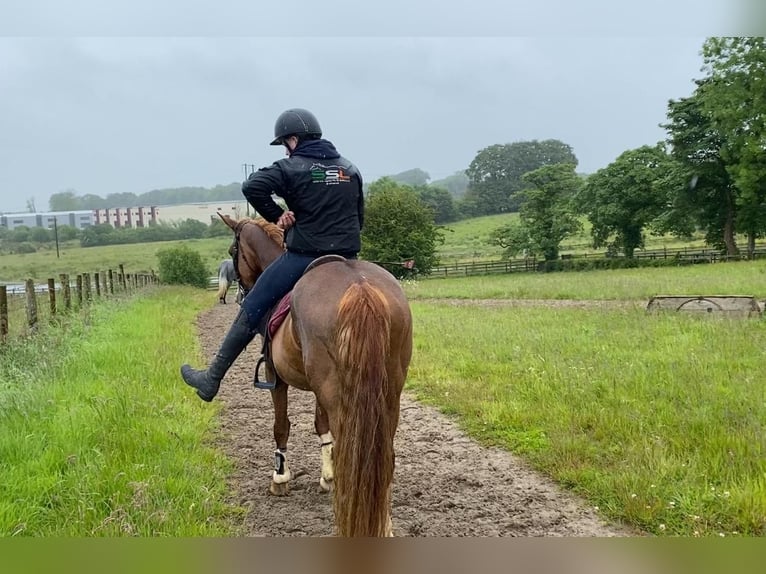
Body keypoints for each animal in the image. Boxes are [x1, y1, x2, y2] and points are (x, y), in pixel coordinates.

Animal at [216, 213, 414, 540]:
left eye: (233, 251)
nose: (240, 294)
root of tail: (361, 288)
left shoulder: (275, 376)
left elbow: (280, 426)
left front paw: (280, 478)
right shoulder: (321, 388)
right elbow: (322, 426)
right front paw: (327, 476)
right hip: (385, 394)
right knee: (384, 459)